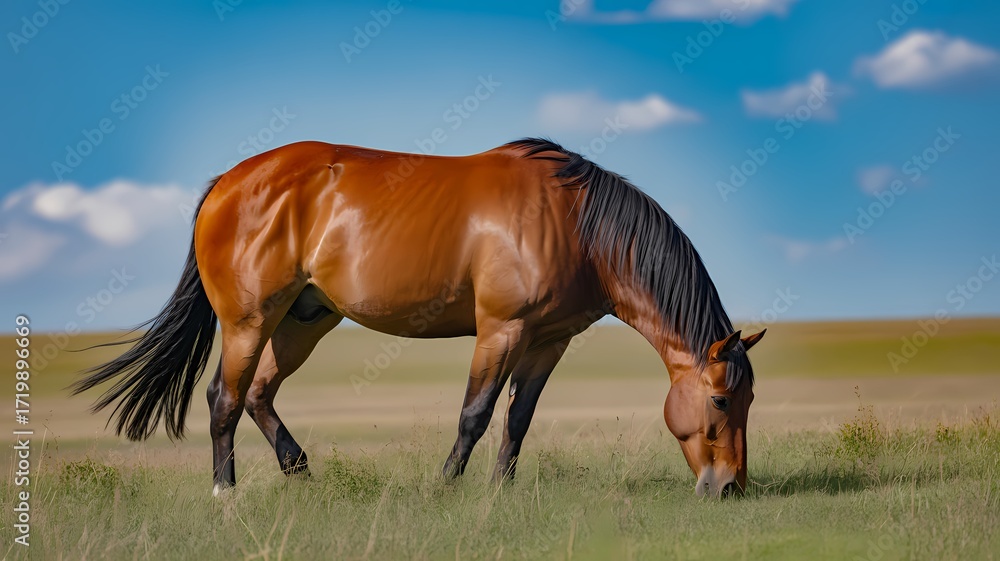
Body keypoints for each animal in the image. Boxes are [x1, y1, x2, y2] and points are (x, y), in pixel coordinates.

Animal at [74, 138, 765, 498]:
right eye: (721, 400)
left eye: (750, 400)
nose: (730, 485)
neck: (575, 223)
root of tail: (228, 181)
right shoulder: (502, 330)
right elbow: (475, 413)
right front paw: (447, 486)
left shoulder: (549, 341)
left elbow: (518, 417)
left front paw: (500, 490)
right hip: (250, 320)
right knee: (224, 396)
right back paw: (226, 493)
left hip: (304, 320)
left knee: (258, 393)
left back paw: (298, 468)